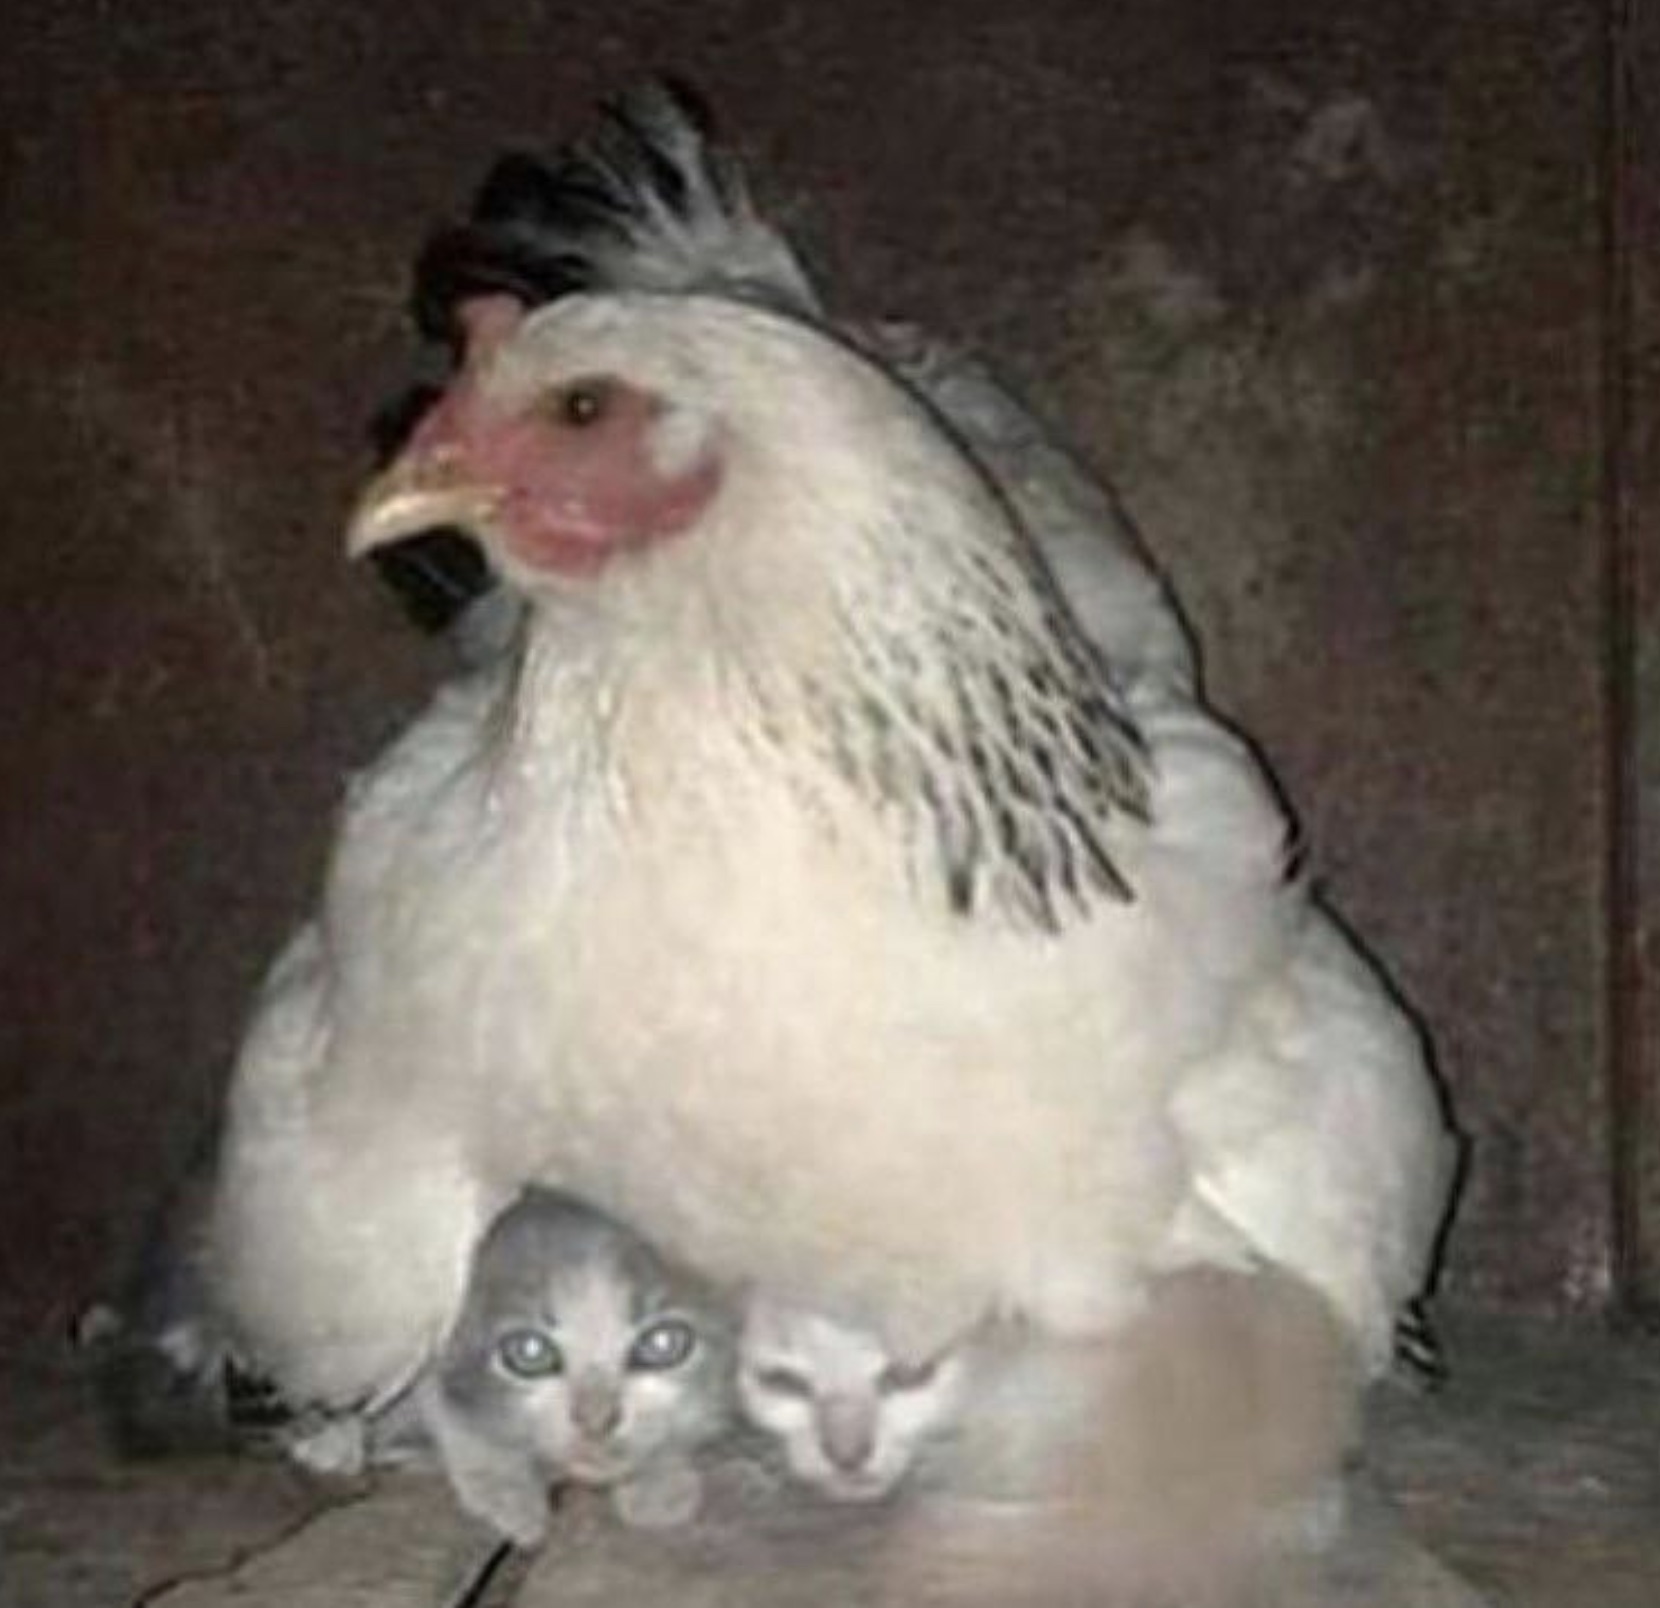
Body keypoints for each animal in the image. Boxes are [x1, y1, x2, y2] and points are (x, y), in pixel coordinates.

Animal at [408, 1194, 733, 1546]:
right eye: (529, 1351)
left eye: (662, 1343)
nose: (596, 1422)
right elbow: (446, 1409)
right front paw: (504, 1490)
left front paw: (659, 1477)